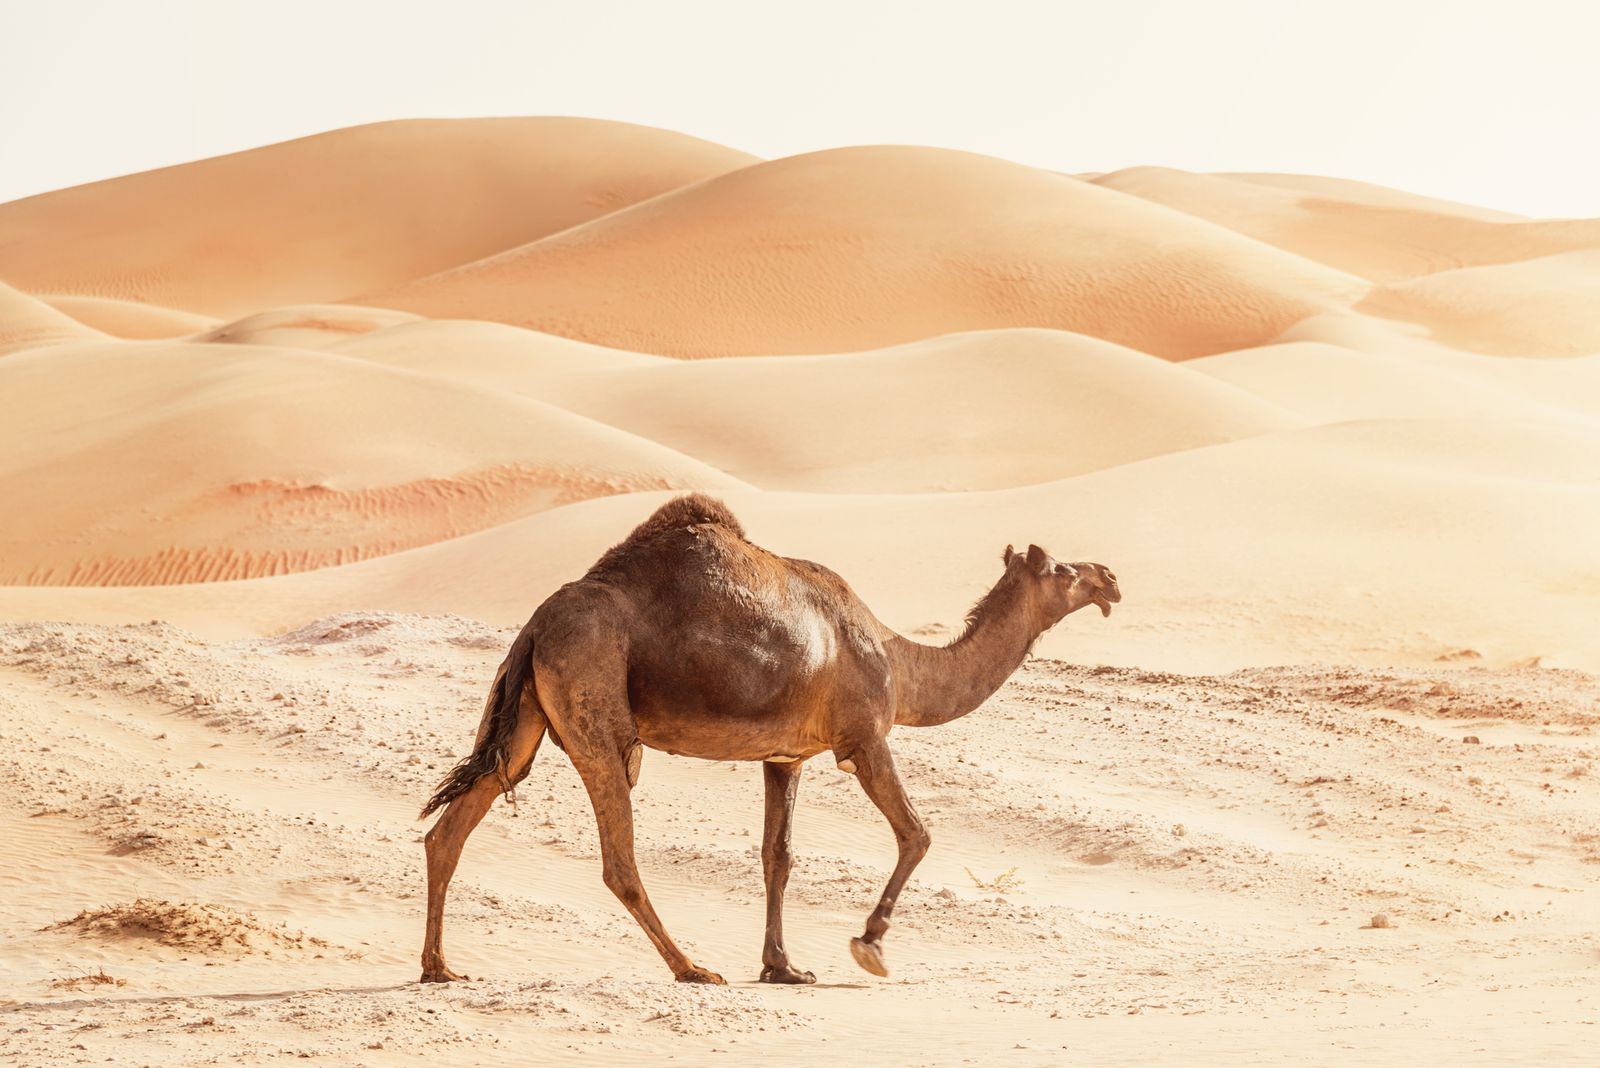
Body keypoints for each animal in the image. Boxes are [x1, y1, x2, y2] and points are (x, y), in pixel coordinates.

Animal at [419, 492, 1120, 984]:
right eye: (1063, 570)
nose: (1110, 577)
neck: (899, 663)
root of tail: (536, 623)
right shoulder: (863, 738)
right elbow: (916, 833)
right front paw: (869, 946)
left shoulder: (787, 756)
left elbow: (776, 856)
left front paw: (783, 967)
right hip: (595, 703)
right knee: (618, 856)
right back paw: (692, 968)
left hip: (523, 717)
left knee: (454, 825)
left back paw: (439, 967)